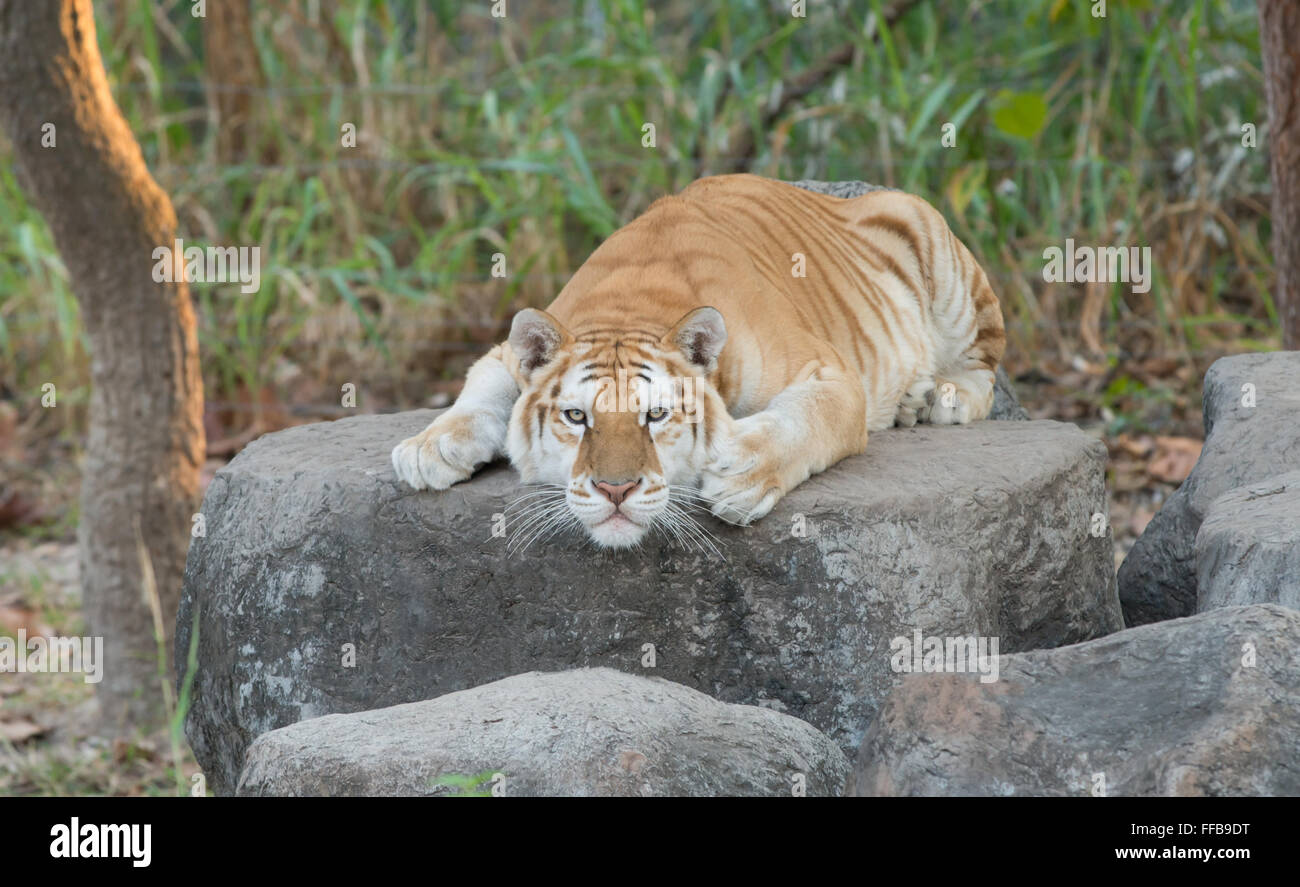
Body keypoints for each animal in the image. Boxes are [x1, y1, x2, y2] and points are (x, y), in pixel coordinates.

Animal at [390, 171, 1008, 546]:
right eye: (577, 417)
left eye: (656, 415)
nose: (616, 490)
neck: (628, 307)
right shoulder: (505, 354)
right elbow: (480, 390)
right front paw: (429, 447)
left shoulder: (830, 371)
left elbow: (809, 418)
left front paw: (740, 472)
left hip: (931, 235)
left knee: (985, 367)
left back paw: (938, 399)